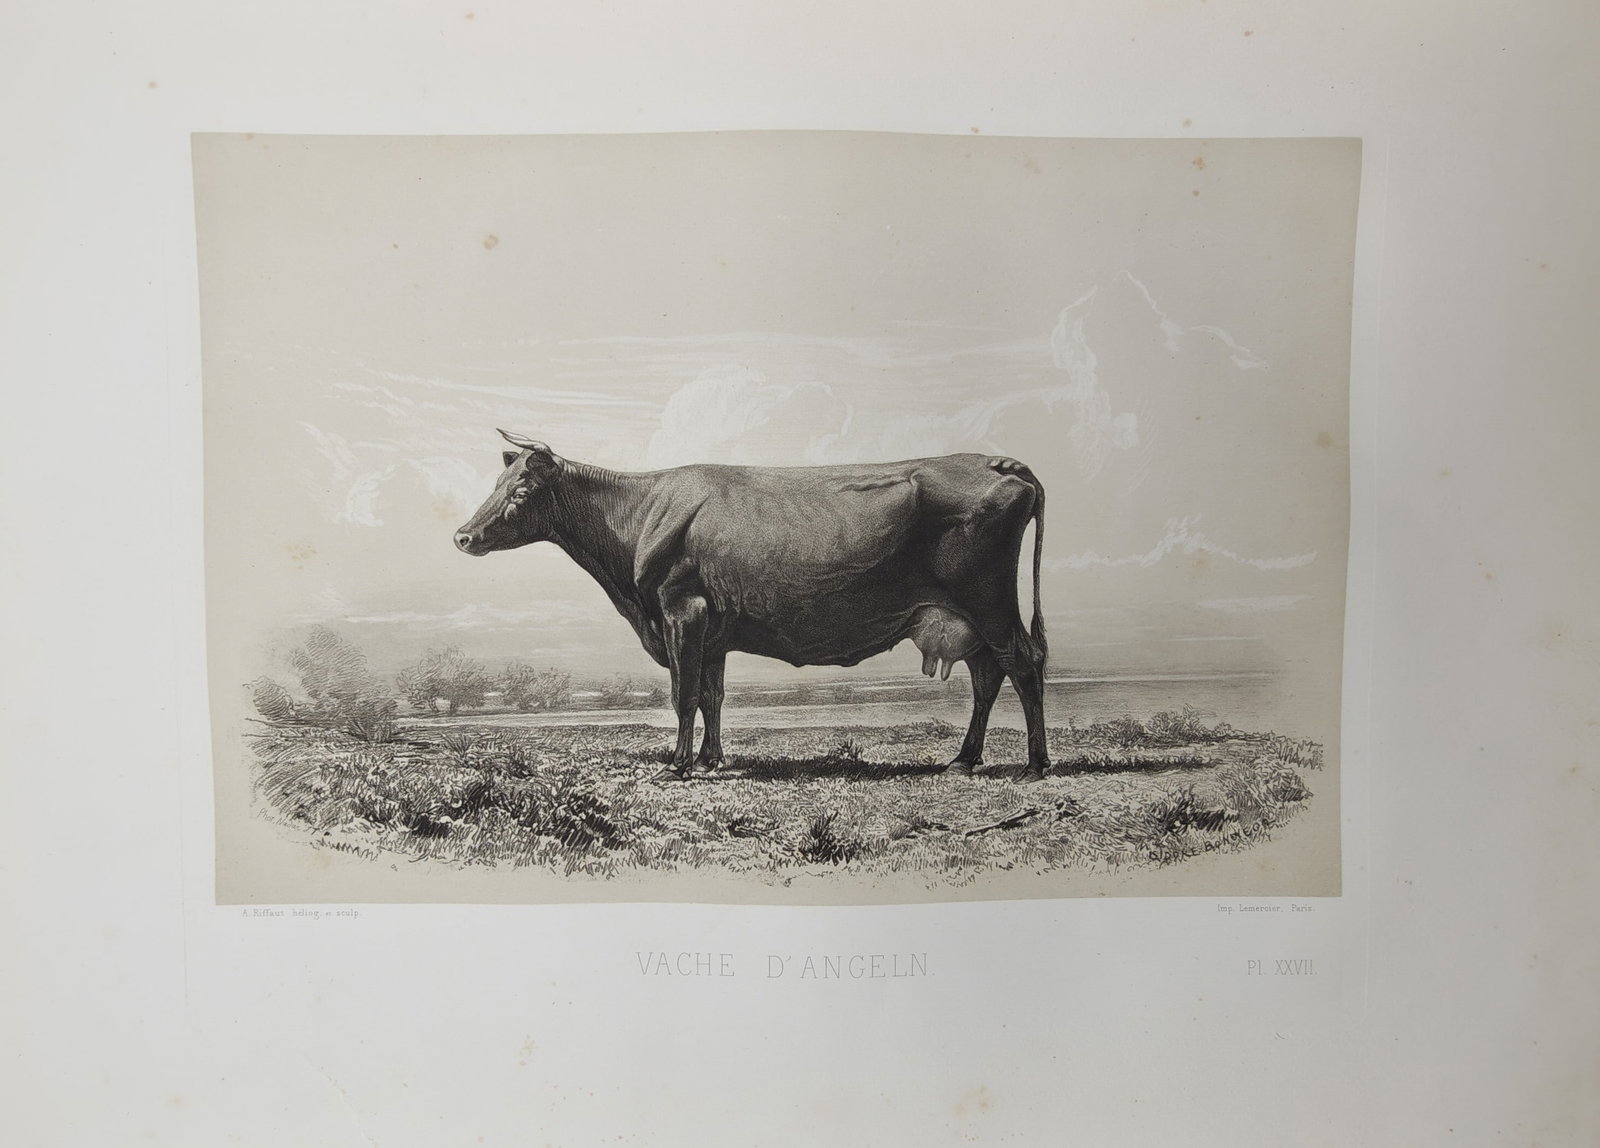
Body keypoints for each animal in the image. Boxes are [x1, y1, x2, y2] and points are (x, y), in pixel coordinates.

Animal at [454, 430, 1051, 780]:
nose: (463, 536)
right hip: (968, 618)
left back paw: (1034, 765)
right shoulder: (711, 630)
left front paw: (678, 766)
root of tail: (998, 462)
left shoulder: (682, 611)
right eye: (498, 480)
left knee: (1023, 665)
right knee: (987, 677)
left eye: (523, 488)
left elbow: (684, 694)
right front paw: (712, 760)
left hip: (989, 602)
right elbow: (712, 696)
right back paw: (963, 759)